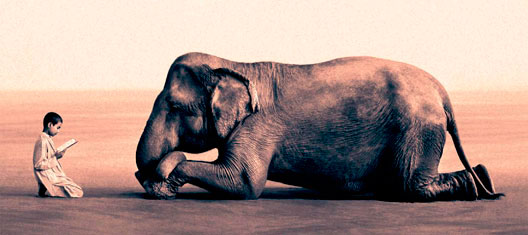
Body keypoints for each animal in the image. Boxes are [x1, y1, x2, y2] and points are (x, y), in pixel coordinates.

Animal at [133, 52, 504, 201]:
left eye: (175, 107)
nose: (142, 174)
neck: (233, 64)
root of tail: (442, 92)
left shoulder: (257, 126)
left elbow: (244, 183)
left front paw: (164, 179)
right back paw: (483, 178)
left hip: (418, 126)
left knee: (410, 186)